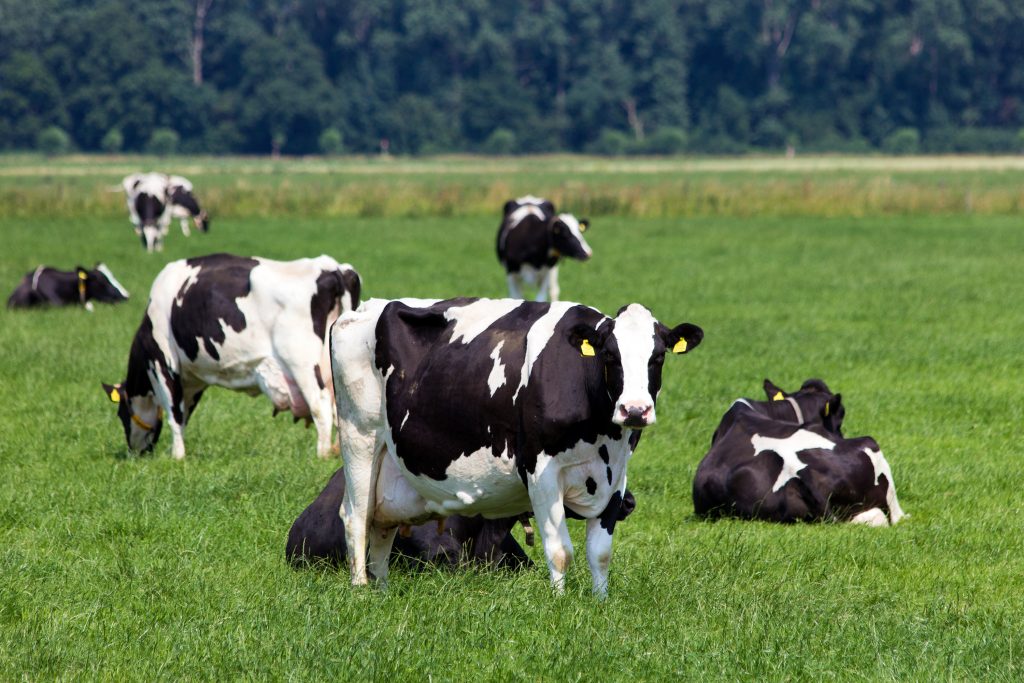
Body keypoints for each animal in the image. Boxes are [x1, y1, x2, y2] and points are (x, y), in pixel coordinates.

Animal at [101, 254, 362, 458]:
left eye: (121, 413)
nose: (135, 452)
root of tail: (333, 268)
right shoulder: (192, 379)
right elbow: (184, 414)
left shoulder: (163, 363)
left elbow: (174, 413)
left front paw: (177, 456)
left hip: (301, 363)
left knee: (321, 407)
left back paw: (322, 453)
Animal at [331, 296, 700, 593]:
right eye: (610, 355)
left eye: (658, 357)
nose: (635, 410)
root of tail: (363, 309)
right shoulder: (541, 470)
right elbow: (560, 551)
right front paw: (560, 602)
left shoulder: (616, 474)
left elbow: (601, 553)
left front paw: (600, 601)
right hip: (359, 436)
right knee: (356, 516)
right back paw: (361, 590)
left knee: (381, 525)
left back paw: (382, 589)